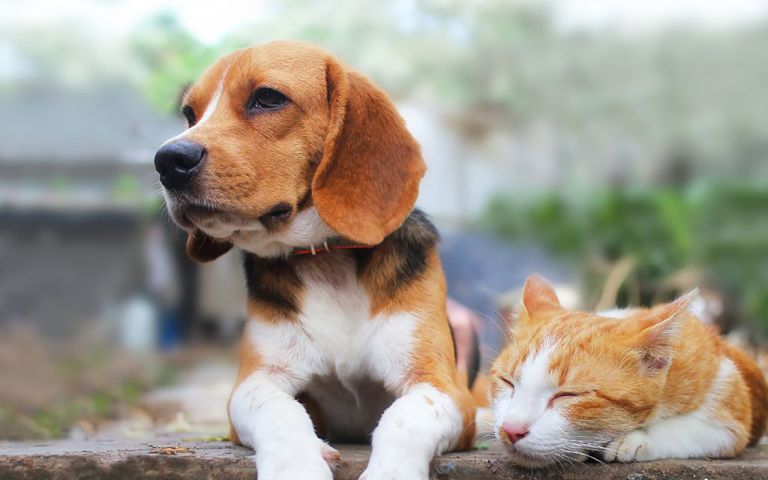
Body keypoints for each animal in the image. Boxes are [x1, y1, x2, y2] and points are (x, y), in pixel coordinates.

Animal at [154, 41, 476, 480]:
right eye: (190, 114)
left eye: (267, 98)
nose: (167, 161)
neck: (326, 258)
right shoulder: (255, 382)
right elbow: (280, 410)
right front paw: (296, 466)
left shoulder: (442, 387)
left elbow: (404, 417)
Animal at [488, 276, 764, 466]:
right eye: (507, 382)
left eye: (568, 396)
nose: (511, 430)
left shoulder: (730, 404)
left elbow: (694, 429)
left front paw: (633, 440)